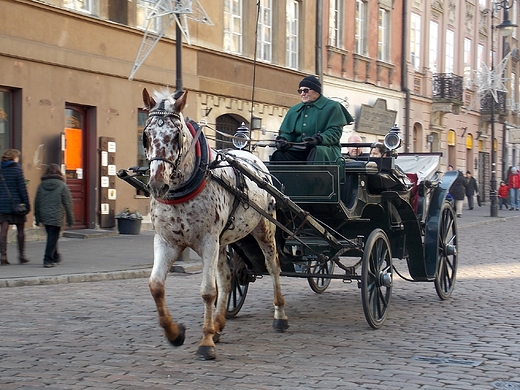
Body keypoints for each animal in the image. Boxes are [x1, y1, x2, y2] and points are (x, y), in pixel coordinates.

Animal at [141, 88, 288, 360]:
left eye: (176, 136)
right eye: (146, 135)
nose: (157, 185)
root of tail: (251, 156)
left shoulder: (208, 240)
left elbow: (208, 290)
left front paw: (206, 342)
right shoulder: (166, 241)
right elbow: (156, 285)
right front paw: (175, 333)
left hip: (264, 229)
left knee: (273, 267)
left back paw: (280, 315)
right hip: (224, 240)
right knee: (228, 276)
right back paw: (218, 324)